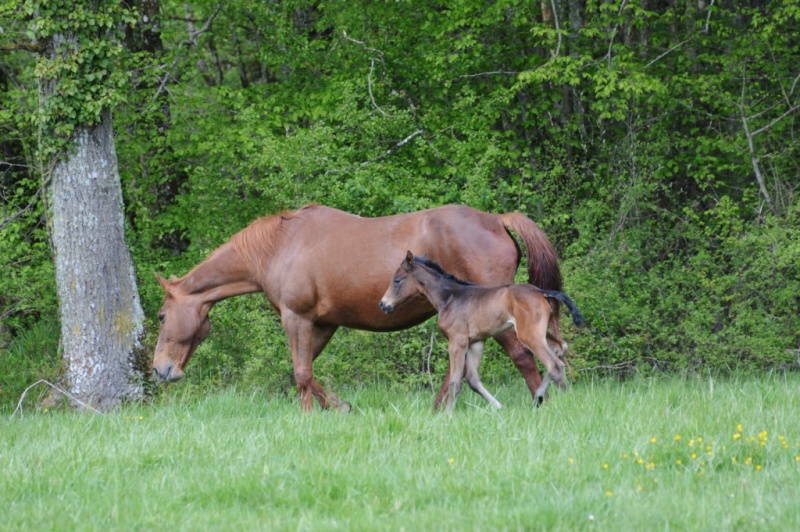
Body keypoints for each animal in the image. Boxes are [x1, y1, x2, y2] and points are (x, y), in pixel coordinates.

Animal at [152, 204, 564, 412]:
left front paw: (307, 417)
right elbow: (305, 371)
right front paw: (339, 407)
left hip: (502, 321)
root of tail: (495, 219)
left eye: (160, 316)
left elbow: (301, 373)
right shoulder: (320, 324)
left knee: (526, 358)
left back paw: (540, 405)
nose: (159, 370)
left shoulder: (296, 318)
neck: (279, 246)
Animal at [378, 251, 584, 414]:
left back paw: (565, 403)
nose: (383, 304)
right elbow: (472, 379)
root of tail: (542, 292)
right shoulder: (476, 342)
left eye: (397, 280)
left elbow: (455, 382)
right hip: (538, 331)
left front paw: (448, 416)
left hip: (529, 335)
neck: (449, 298)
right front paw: (499, 407)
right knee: (561, 347)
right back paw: (539, 397)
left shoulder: (457, 341)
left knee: (555, 365)